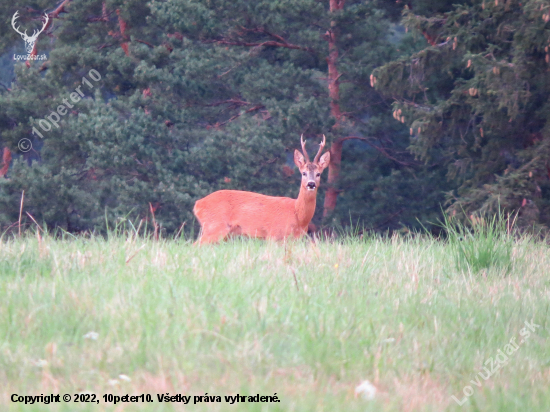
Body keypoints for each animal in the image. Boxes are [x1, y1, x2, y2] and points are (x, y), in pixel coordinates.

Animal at [194, 135, 332, 245]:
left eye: (319, 174)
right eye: (303, 173)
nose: (311, 184)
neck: (298, 215)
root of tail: (197, 204)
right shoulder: (274, 235)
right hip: (214, 226)